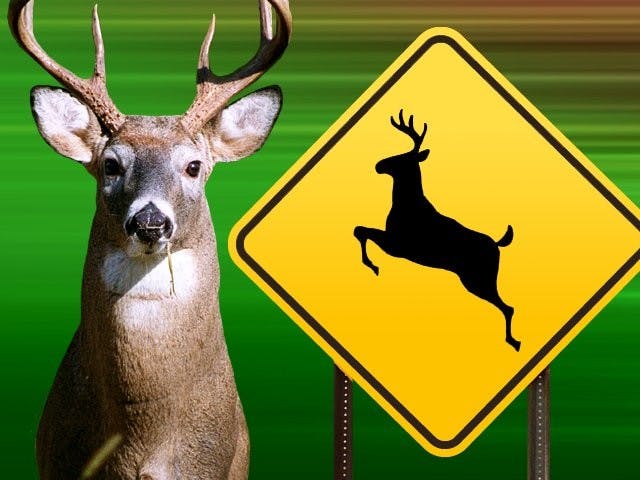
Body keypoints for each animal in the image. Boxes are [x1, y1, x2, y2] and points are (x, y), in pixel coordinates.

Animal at [354, 110, 520, 351]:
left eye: (403, 158)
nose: (379, 165)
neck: (406, 204)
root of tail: (498, 245)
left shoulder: (398, 246)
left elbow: (361, 230)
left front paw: (373, 266)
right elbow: (360, 229)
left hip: (478, 279)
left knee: (508, 307)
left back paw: (513, 341)